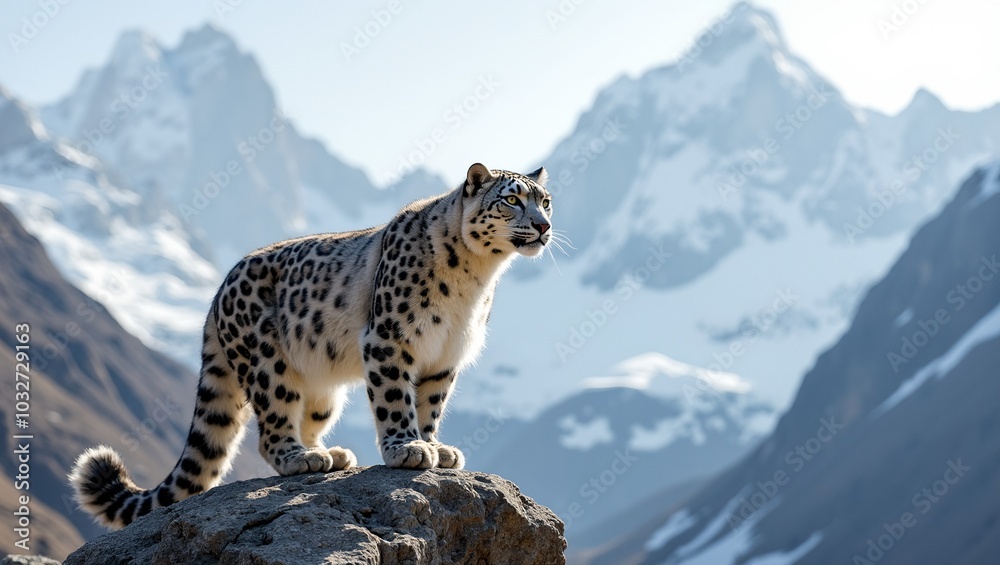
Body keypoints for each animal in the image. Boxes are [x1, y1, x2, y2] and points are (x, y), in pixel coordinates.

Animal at [69, 163, 553, 528]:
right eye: (512, 199)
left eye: (545, 201)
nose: (544, 225)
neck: (476, 278)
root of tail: (217, 295)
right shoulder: (388, 338)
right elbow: (396, 398)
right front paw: (407, 448)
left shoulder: (444, 356)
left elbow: (430, 403)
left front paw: (437, 447)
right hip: (268, 363)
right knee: (272, 426)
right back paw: (299, 458)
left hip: (322, 388)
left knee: (307, 416)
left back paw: (329, 454)